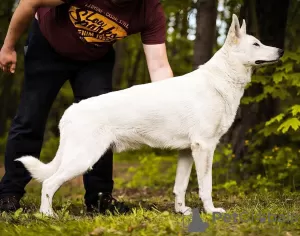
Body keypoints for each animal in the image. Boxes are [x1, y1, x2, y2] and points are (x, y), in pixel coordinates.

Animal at [15, 13, 284, 217]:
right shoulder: (204, 148)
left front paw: (181, 211)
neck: (220, 80)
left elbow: (180, 187)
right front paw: (211, 211)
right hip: (83, 159)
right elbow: (205, 187)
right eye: (256, 44)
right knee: (48, 183)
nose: (281, 50)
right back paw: (47, 215)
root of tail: (70, 110)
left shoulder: (187, 152)